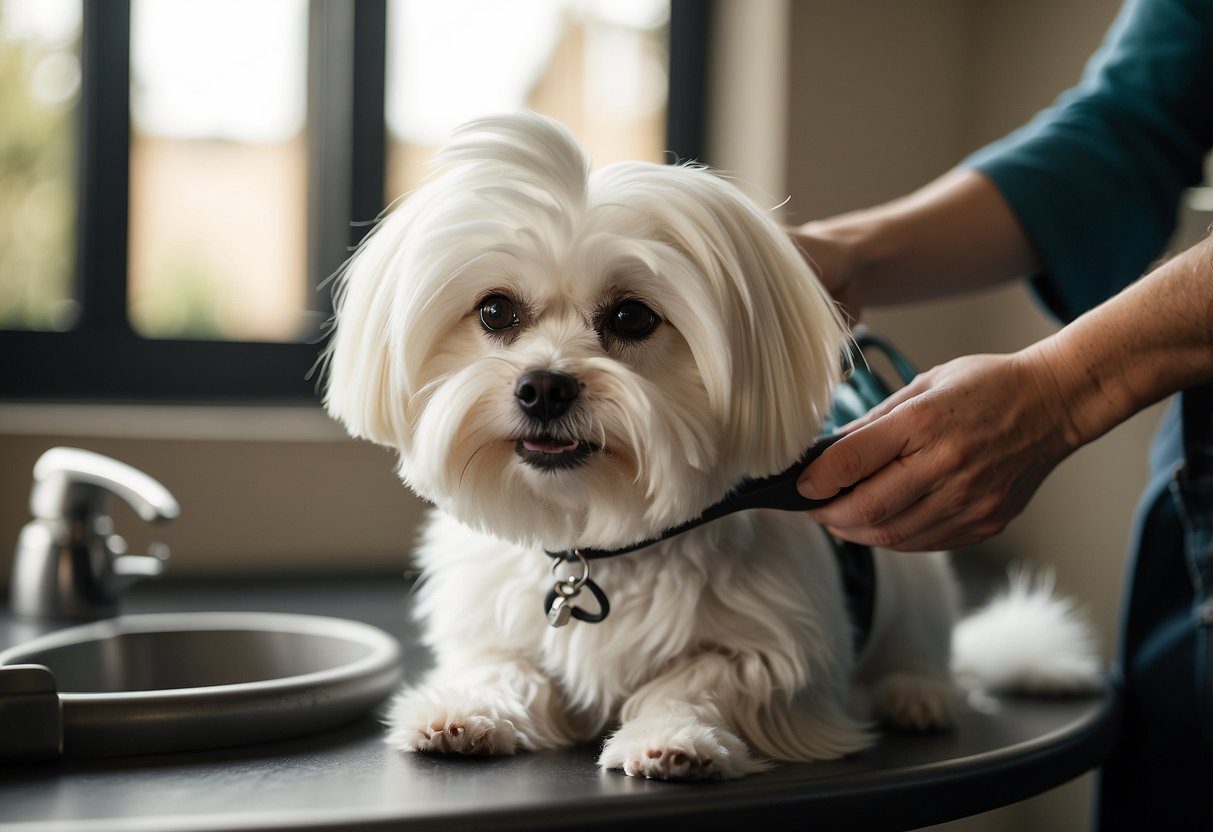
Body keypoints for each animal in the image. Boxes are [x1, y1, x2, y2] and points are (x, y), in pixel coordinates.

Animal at [322, 112, 1101, 781]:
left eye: (631, 318)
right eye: (494, 311)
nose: (542, 388)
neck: (606, 538)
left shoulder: (773, 646)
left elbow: (705, 679)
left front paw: (675, 739)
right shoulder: (493, 624)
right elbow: (503, 666)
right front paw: (466, 711)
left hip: (914, 587)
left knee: (921, 652)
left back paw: (917, 694)